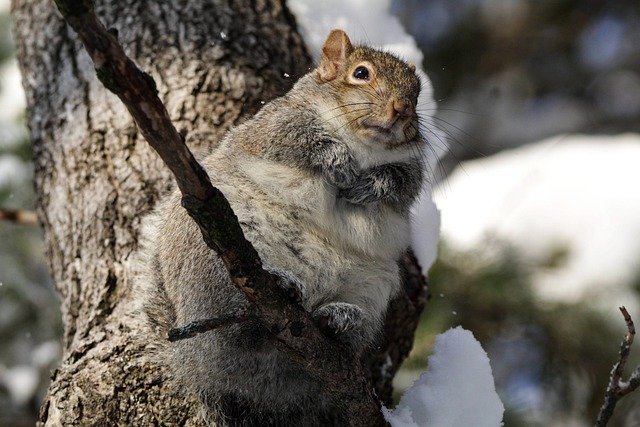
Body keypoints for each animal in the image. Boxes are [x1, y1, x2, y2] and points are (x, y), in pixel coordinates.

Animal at [135, 29, 427, 426]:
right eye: (361, 74)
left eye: (417, 92)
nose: (402, 109)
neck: (365, 143)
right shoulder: (274, 124)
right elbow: (298, 139)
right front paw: (337, 160)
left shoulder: (411, 167)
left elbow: (401, 183)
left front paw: (370, 185)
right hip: (211, 260)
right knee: (238, 325)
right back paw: (281, 285)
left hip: (372, 287)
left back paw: (340, 318)